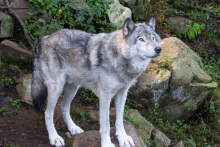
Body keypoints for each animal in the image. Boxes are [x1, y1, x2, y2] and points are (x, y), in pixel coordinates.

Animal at [31, 16, 162, 147]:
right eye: (141, 39)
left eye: (153, 38)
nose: (158, 49)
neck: (120, 58)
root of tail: (45, 38)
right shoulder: (104, 95)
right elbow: (106, 124)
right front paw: (107, 143)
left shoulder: (122, 93)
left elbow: (120, 120)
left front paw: (123, 138)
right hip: (57, 88)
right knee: (48, 113)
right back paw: (54, 138)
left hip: (73, 87)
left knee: (63, 106)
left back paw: (73, 128)